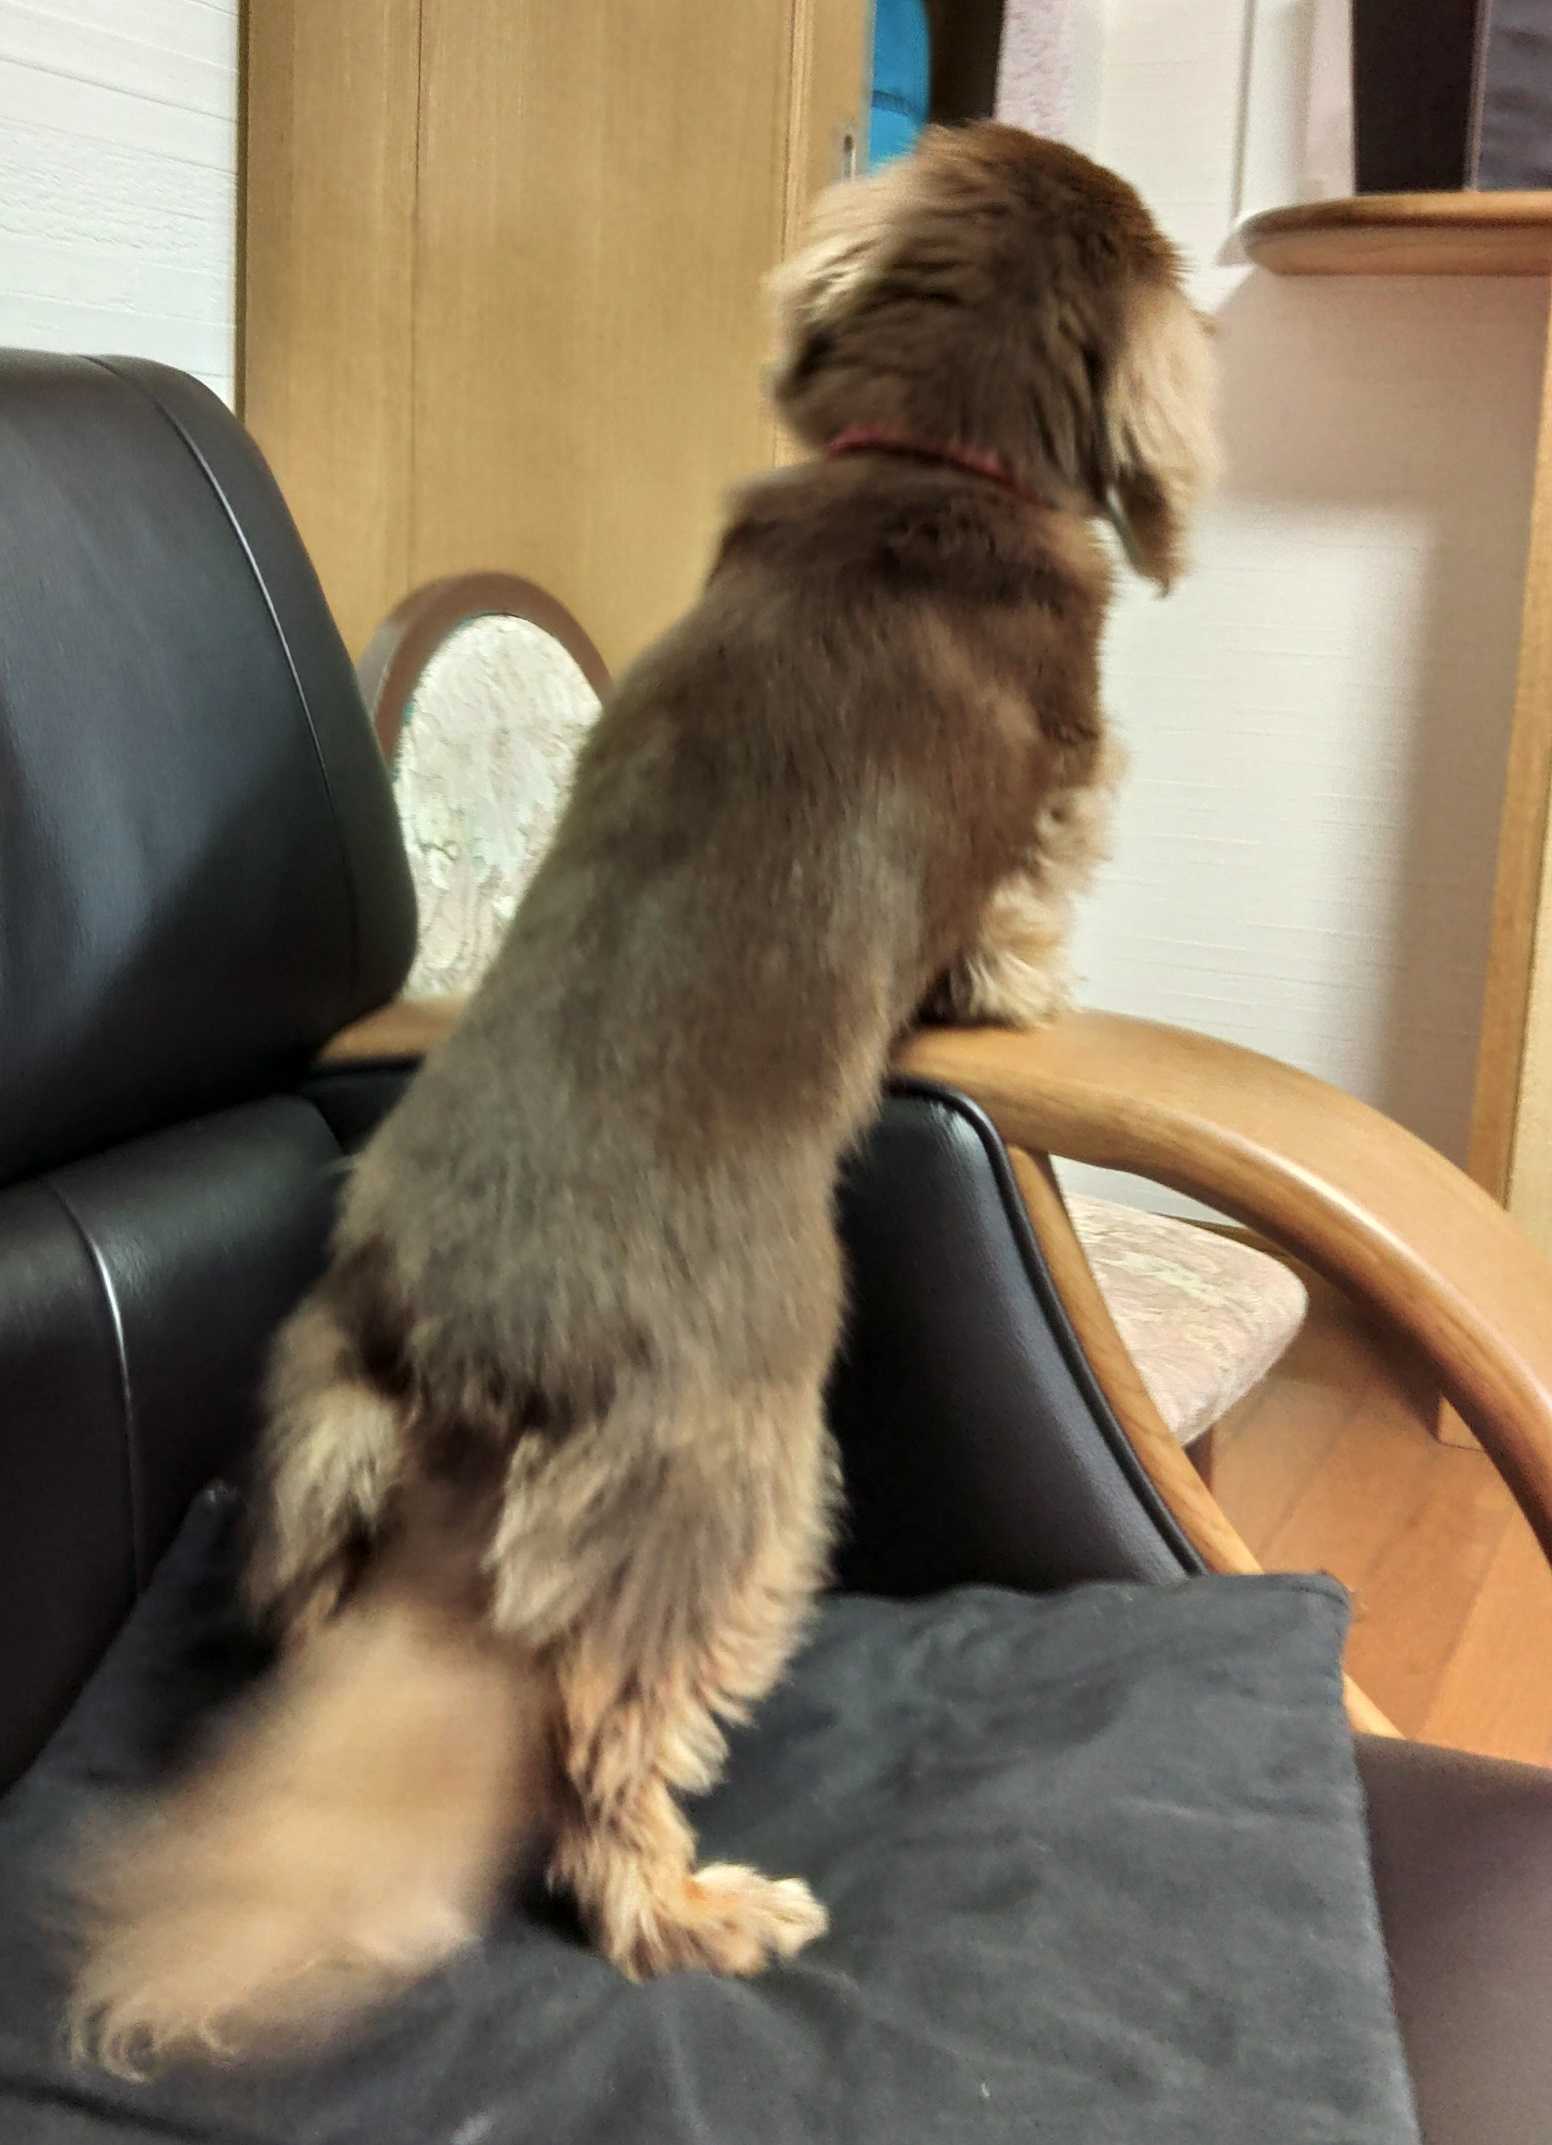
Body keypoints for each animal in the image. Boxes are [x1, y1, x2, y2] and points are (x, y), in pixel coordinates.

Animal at [69, 122, 1216, 2070]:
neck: (932, 459)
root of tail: (473, 1332)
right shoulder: (1039, 830)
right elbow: (1010, 938)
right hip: (736, 1488)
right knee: (603, 1763)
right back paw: (687, 1907)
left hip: (318, 1434)